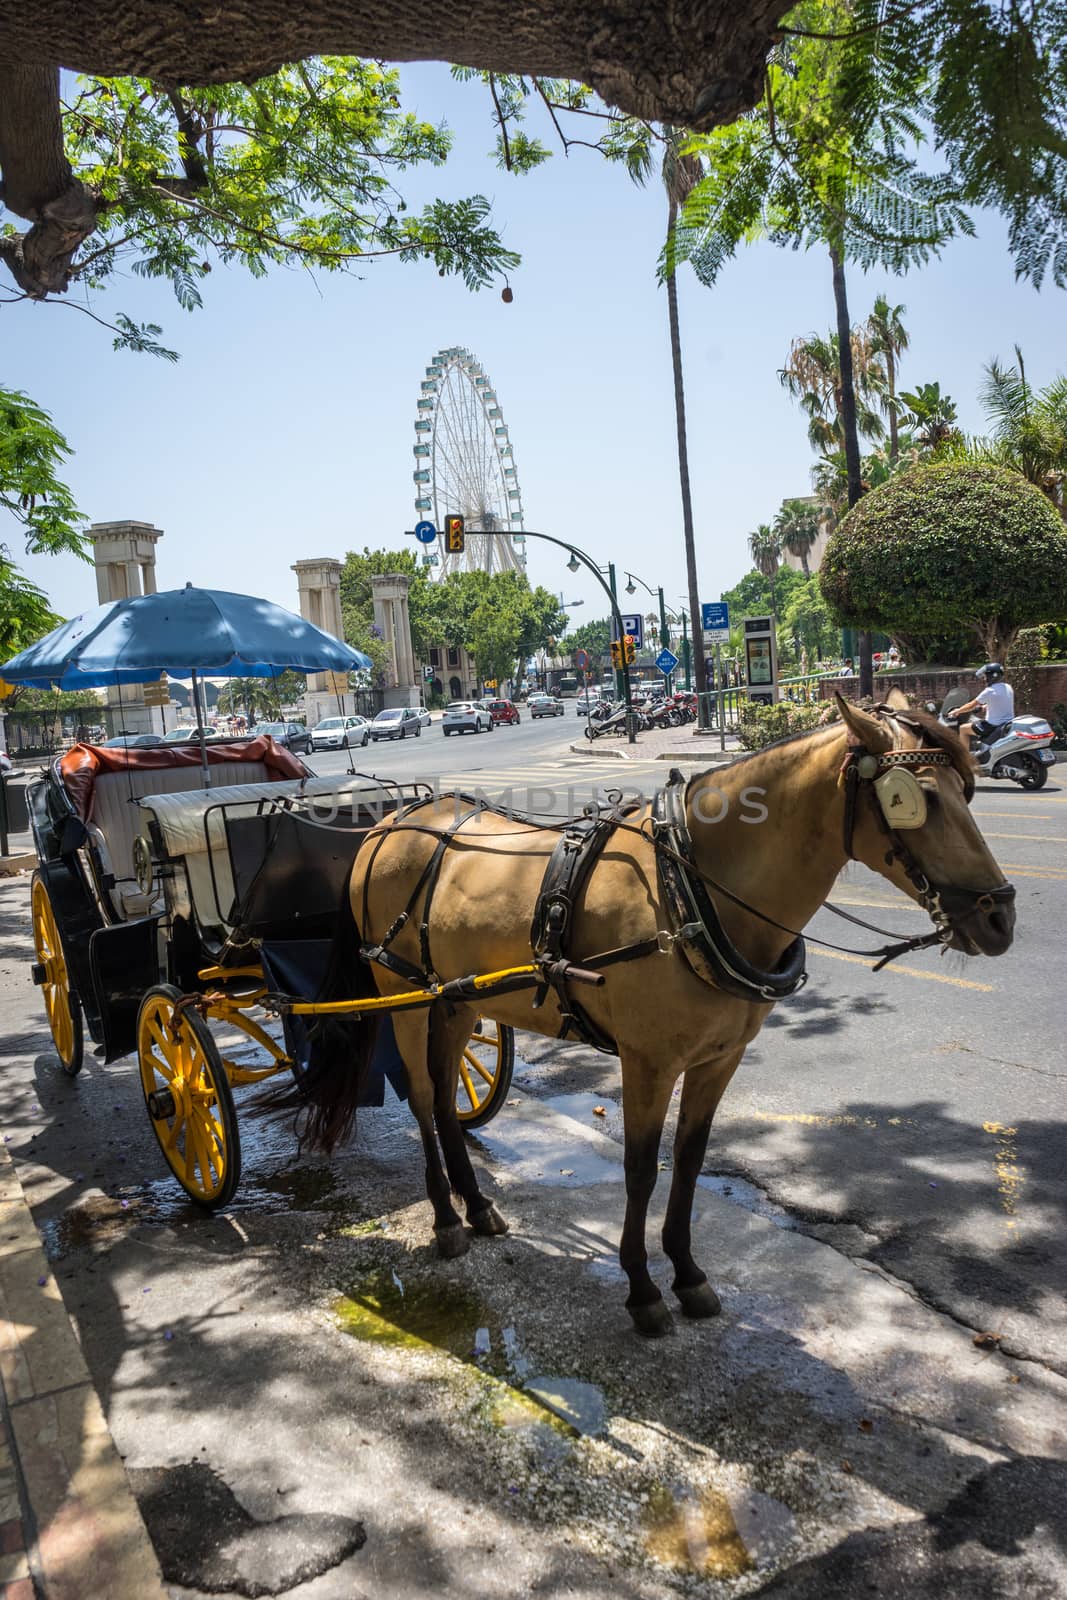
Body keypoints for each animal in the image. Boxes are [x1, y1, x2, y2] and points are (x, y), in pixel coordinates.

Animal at [295, 700, 1017, 1337]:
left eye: (968, 789)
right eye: (912, 798)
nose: (999, 918)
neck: (690, 894)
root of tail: (391, 823)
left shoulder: (718, 1059)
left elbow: (690, 1160)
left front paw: (689, 1273)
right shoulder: (648, 1062)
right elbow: (640, 1168)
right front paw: (642, 1288)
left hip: (454, 1001)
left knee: (447, 1103)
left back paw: (476, 1207)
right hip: (405, 997)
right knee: (422, 1100)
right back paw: (446, 1219)